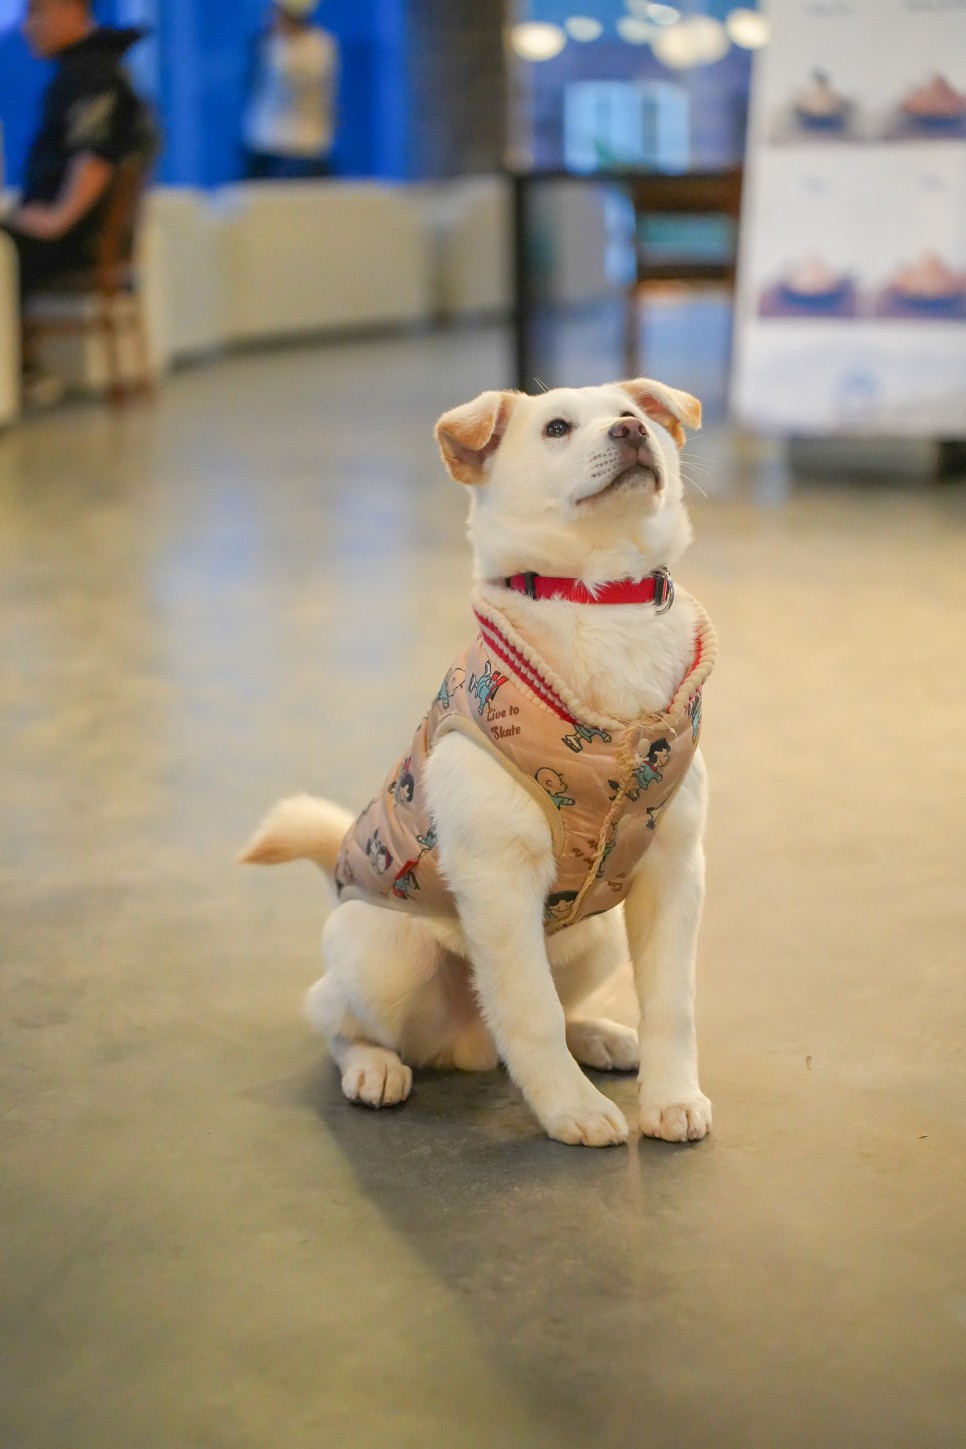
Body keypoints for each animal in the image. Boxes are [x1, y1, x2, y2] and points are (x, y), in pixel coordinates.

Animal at [237, 379, 715, 1147]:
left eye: (632, 414)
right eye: (557, 428)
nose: (631, 432)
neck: (598, 600)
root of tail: (467, 1045)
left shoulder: (672, 869)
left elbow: (671, 1002)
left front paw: (671, 1097)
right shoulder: (499, 882)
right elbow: (531, 1012)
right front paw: (571, 1111)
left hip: (597, 934)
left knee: (548, 1011)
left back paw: (598, 1036)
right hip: (385, 955)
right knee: (335, 1016)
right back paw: (372, 1066)